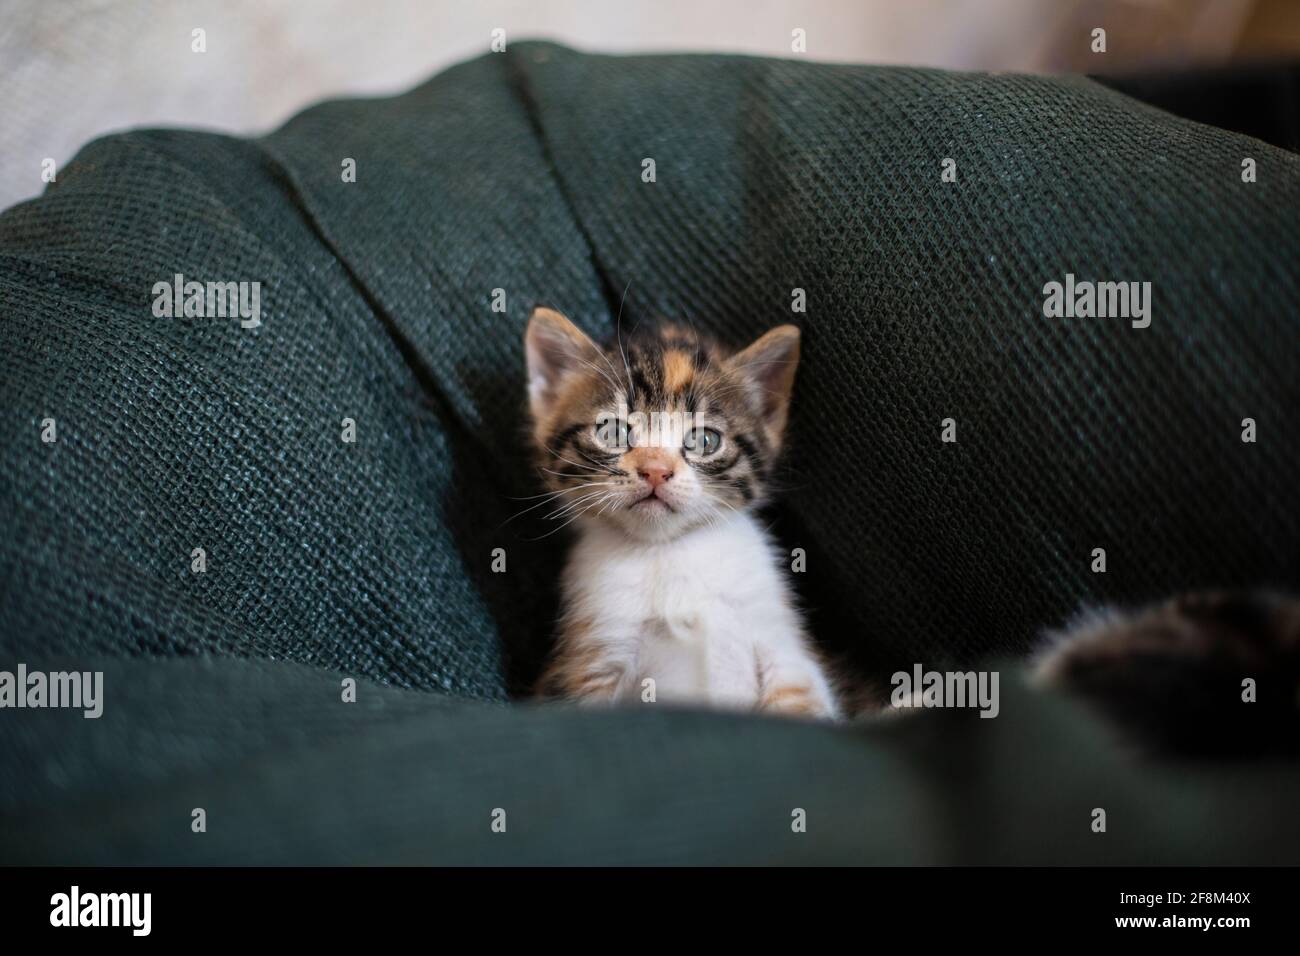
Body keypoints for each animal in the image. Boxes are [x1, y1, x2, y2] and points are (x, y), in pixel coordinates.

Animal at [522, 306, 837, 717]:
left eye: (704, 440)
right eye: (612, 432)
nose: (656, 470)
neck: (668, 551)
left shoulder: (781, 642)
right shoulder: (592, 657)